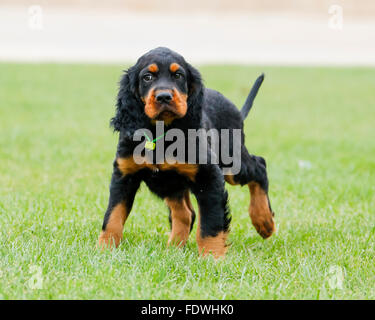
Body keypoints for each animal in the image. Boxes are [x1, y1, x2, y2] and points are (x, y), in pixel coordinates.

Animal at [98, 47, 274, 258]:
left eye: (178, 75)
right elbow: (113, 215)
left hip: (231, 162)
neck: (162, 132)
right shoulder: (124, 174)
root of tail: (237, 111)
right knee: (185, 213)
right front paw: (104, 250)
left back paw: (264, 222)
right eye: (147, 77)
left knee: (260, 165)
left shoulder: (209, 176)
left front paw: (212, 257)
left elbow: (210, 222)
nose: (164, 97)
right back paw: (173, 249)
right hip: (171, 183)